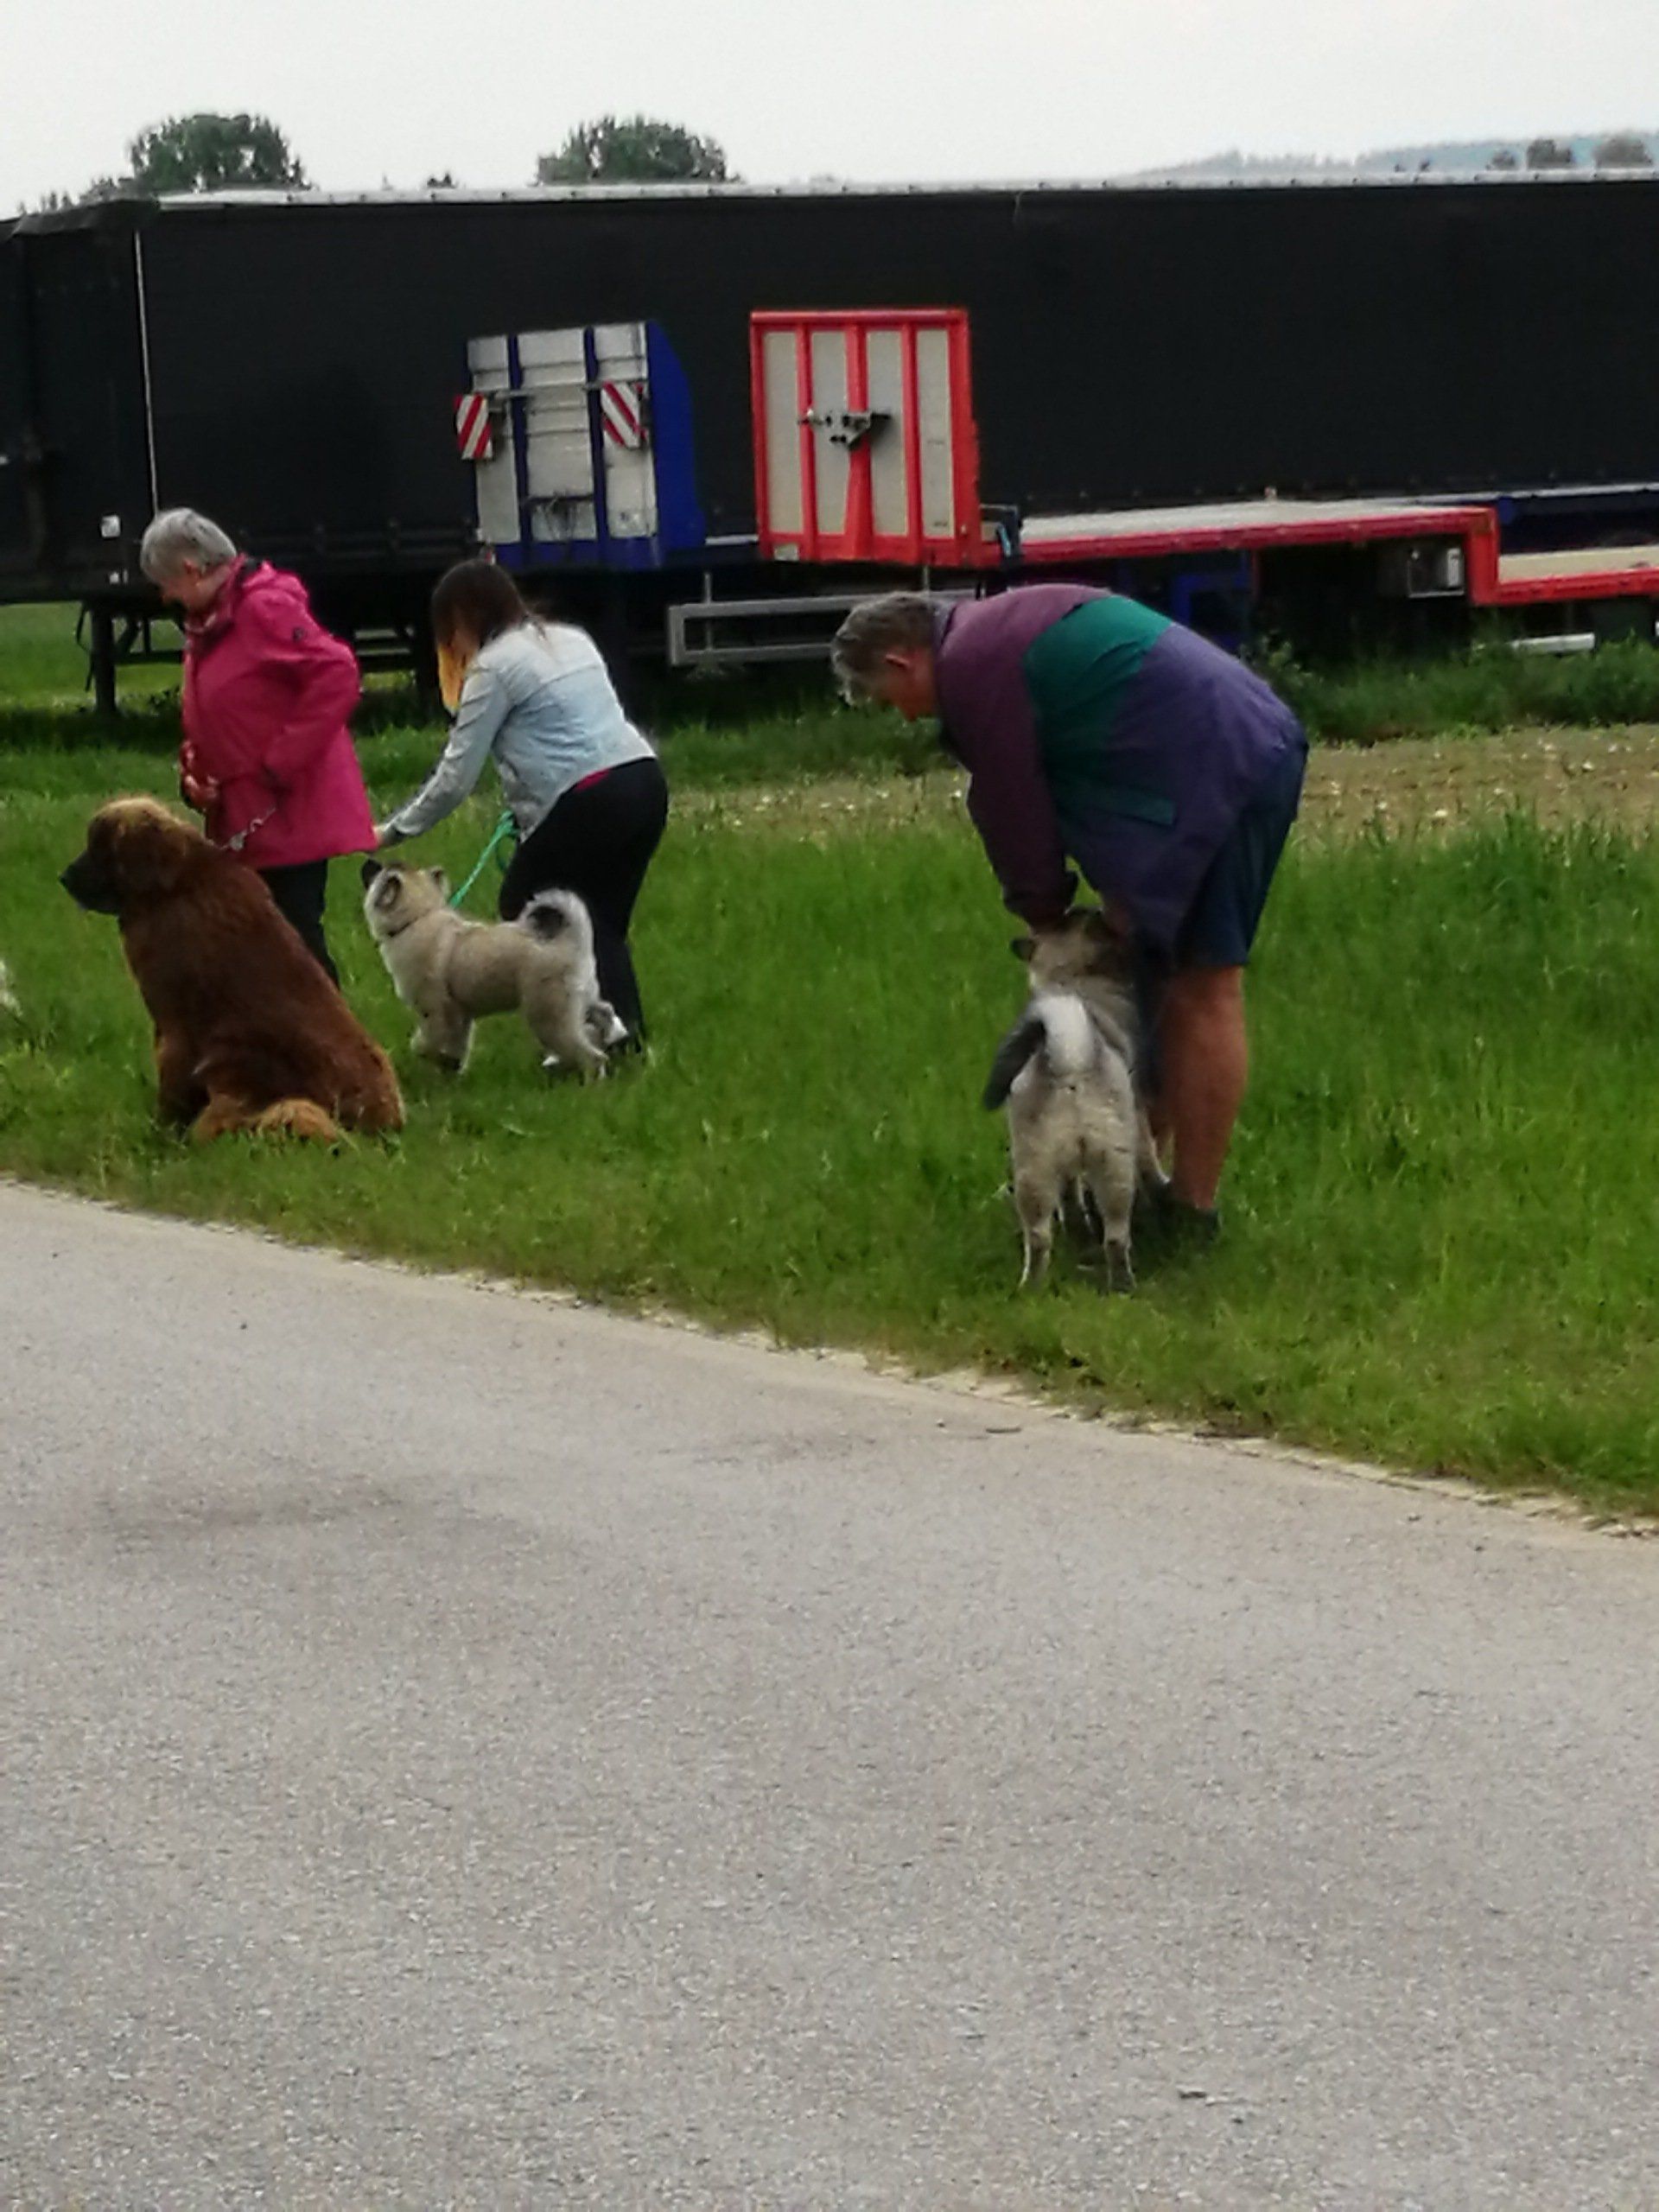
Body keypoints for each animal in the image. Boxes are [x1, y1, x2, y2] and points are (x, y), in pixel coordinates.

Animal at [61, 796, 404, 1143]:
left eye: (99, 848)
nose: (64, 878)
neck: (173, 886)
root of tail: (382, 1122)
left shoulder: (175, 1028)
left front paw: (160, 1134)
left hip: (264, 1091)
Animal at [360, 860, 617, 1079]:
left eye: (380, 872)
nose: (369, 861)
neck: (417, 916)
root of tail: (571, 940)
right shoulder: (460, 1016)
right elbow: (458, 1046)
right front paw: (452, 1070)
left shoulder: (435, 1012)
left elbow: (429, 1040)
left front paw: (426, 1053)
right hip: (581, 1000)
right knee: (604, 1013)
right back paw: (612, 1032)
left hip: (550, 1016)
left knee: (591, 1056)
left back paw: (590, 1083)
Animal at [983, 909, 1165, 1289]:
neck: (1070, 977)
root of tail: (1070, 1058)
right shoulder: (1139, 1114)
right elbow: (1150, 1157)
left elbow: (1069, 1192)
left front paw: (1077, 1226)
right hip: (1114, 1165)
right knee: (1116, 1236)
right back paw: (1123, 1284)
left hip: (1033, 1169)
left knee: (1038, 1237)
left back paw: (1032, 1288)